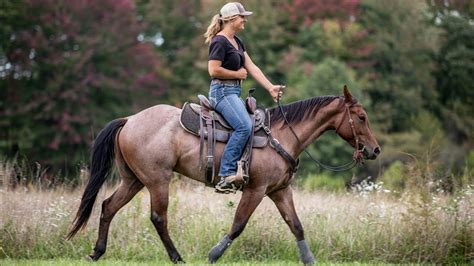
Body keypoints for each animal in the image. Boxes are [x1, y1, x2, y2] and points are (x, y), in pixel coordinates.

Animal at [66, 87, 382, 264]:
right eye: (362, 117)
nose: (375, 149)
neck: (281, 136)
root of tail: (129, 119)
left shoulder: (280, 191)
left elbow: (297, 226)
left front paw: (309, 260)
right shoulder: (256, 190)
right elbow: (238, 224)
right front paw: (213, 254)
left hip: (133, 180)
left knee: (108, 207)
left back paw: (97, 252)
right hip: (157, 180)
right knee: (158, 218)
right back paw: (177, 257)